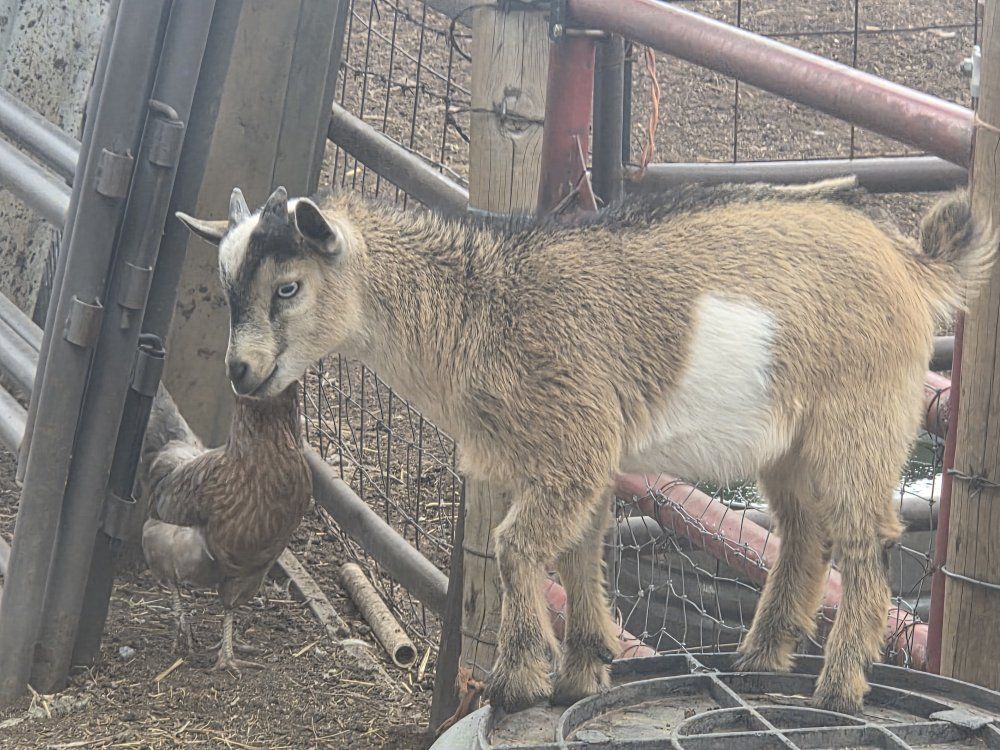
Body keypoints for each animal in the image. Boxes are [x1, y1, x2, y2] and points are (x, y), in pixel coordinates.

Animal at [177, 180, 994, 714]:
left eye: (288, 288)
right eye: (226, 287)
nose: (241, 371)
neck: (479, 306)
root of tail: (913, 265)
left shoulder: (573, 439)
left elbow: (514, 547)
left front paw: (520, 681)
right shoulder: (565, 456)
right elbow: (576, 550)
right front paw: (585, 665)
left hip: (859, 416)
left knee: (864, 536)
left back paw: (840, 685)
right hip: (789, 442)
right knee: (804, 531)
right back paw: (760, 658)